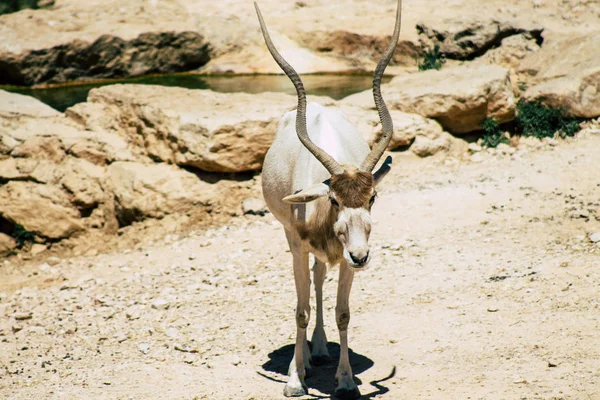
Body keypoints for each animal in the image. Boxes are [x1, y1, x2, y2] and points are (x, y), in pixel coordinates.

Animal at [254, 1, 400, 398]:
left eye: (373, 197)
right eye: (334, 199)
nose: (361, 256)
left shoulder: (348, 255)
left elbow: (342, 313)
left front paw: (346, 380)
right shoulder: (298, 244)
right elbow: (301, 309)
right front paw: (294, 380)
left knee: (320, 277)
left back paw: (319, 349)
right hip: (293, 240)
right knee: (309, 286)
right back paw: (305, 358)